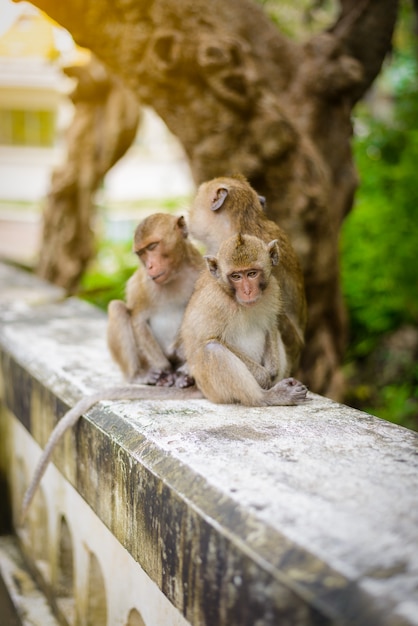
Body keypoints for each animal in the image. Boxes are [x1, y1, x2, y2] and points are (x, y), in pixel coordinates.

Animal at [108, 210, 204, 386]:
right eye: (141, 253)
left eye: (152, 246)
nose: (150, 266)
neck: (175, 274)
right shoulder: (143, 284)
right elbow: (138, 320)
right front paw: (165, 370)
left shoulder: (200, 271)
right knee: (117, 308)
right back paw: (139, 375)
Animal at [181, 230, 308, 404]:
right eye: (236, 276)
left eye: (252, 273)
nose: (247, 291)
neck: (232, 296)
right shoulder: (216, 303)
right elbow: (208, 339)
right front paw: (263, 376)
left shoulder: (273, 288)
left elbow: (270, 325)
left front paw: (273, 371)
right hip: (211, 389)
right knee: (212, 349)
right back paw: (268, 396)